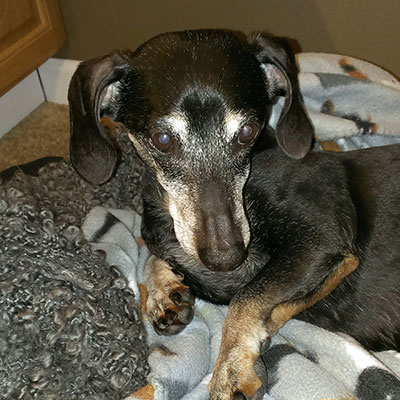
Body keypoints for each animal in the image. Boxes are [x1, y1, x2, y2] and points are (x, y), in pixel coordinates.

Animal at [69, 29, 400, 398]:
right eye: (162, 139)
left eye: (247, 132)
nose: (226, 257)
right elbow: (154, 255)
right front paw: (164, 293)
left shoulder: (323, 239)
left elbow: (248, 296)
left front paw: (231, 368)